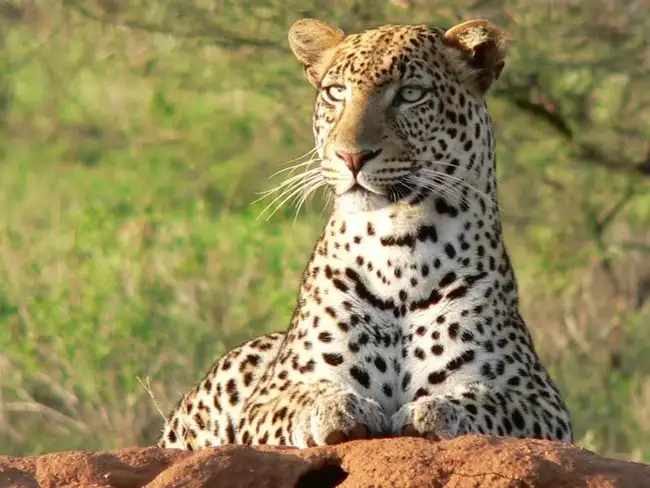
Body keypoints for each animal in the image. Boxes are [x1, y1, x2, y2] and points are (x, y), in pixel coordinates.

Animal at [157, 16, 572, 450]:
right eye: (336, 92)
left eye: (410, 95)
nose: (351, 156)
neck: (399, 245)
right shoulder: (274, 394)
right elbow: (303, 399)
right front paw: (338, 408)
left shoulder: (541, 401)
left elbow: (486, 401)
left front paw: (435, 410)